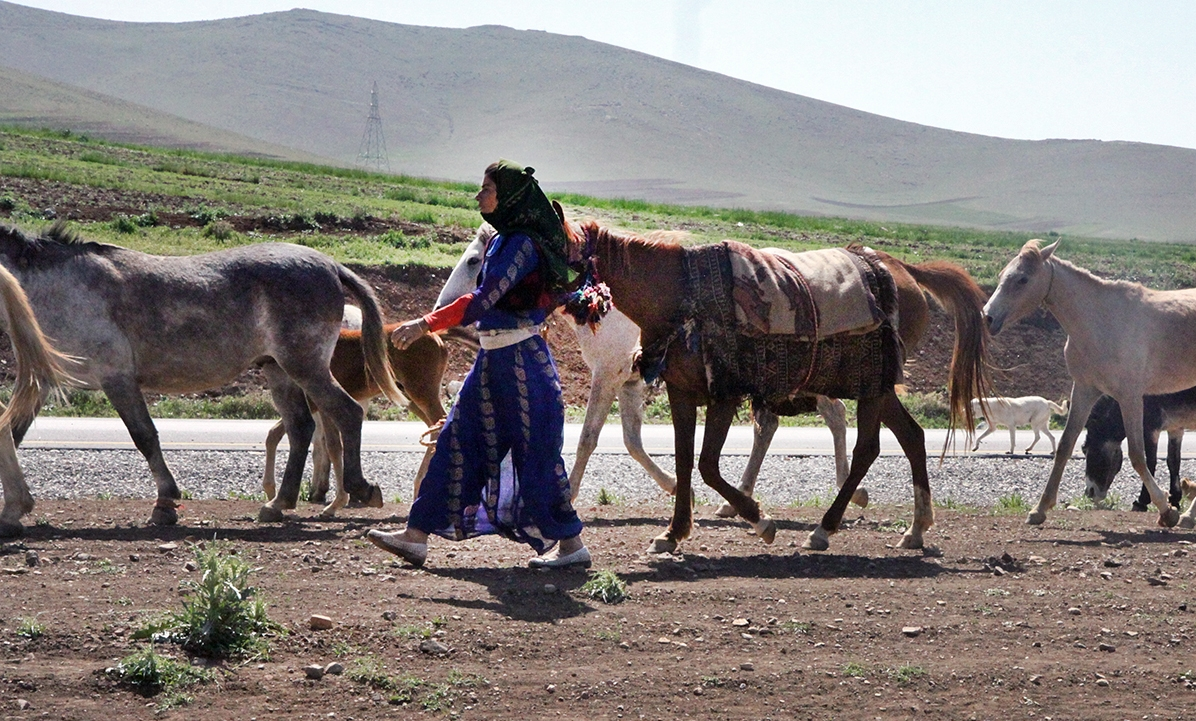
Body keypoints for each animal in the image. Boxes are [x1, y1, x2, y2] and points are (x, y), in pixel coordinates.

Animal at [0, 221, 404, 523]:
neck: (63, 287)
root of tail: (332, 266)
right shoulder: (43, 382)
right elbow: (12, 433)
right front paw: (13, 507)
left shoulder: (118, 379)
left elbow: (144, 437)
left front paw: (165, 503)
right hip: (279, 371)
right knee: (301, 427)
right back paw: (279, 503)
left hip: (305, 367)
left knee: (347, 413)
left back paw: (361, 488)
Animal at [440, 222, 861, 511]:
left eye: (475, 259)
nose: (444, 308)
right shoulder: (629, 382)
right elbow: (632, 441)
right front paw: (677, 487)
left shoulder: (608, 375)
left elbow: (588, 438)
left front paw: (569, 495)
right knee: (777, 425)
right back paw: (739, 500)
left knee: (835, 415)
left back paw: (849, 494)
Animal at [576, 222, 990, 554]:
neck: (677, 296)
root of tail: (903, 270)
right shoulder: (667, 388)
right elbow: (668, 453)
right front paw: (674, 527)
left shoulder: (711, 391)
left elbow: (693, 461)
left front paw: (758, 519)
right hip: (879, 387)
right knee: (911, 436)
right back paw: (915, 529)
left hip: (870, 384)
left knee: (865, 444)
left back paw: (825, 527)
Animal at [980, 240, 1196, 528]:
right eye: (1002, 274)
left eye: (1022, 279)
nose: (988, 318)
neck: (1100, 322)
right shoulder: (1084, 390)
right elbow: (1064, 446)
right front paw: (1040, 509)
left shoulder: (1130, 397)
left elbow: (1139, 455)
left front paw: (1166, 510)